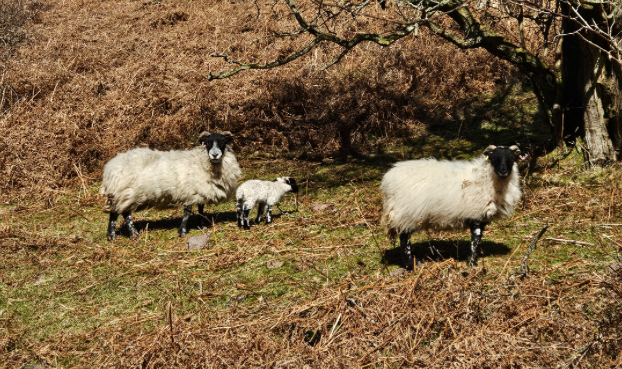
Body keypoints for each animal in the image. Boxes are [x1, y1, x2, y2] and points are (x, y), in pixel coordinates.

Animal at [99, 131, 241, 240]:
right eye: (207, 143)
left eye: (223, 142)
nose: (214, 155)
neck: (201, 161)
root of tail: (109, 168)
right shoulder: (189, 192)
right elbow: (187, 212)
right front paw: (183, 232)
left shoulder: (199, 191)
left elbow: (201, 209)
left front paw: (201, 225)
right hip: (126, 192)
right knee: (125, 213)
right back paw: (134, 234)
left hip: (118, 194)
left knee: (114, 213)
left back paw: (111, 236)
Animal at [380, 145, 528, 268]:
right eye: (493, 158)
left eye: (512, 158)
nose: (503, 172)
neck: (485, 177)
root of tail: (387, 181)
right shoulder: (475, 214)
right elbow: (475, 240)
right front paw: (472, 263)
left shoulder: (481, 216)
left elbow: (478, 239)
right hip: (406, 212)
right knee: (404, 239)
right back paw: (410, 266)